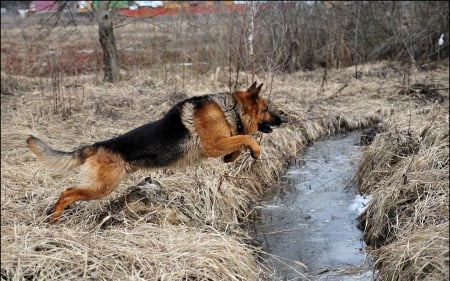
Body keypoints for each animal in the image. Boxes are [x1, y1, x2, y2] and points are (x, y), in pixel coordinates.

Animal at [26, 81, 282, 223]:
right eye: (266, 108)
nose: (284, 119)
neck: (230, 109)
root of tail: (99, 144)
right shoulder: (213, 144)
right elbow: (246, 137)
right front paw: (255, 150)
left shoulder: (220, 143)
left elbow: (239, 142)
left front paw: (232, 157)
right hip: (102, 187)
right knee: (67, 193)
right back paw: (53, 220)